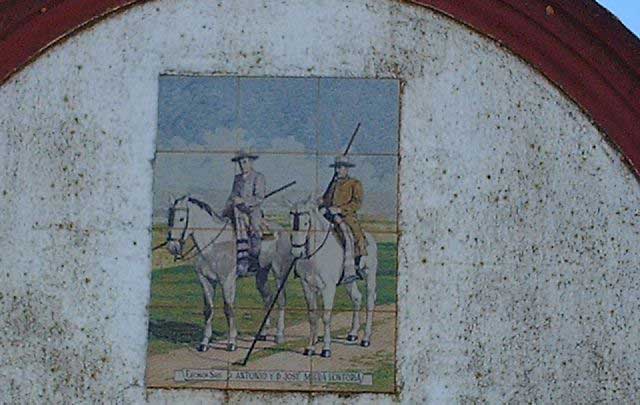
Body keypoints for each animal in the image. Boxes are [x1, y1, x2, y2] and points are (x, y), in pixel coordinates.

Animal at [165, 195, 296, 350]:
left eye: (181, 219)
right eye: (169, 217)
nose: (172, 247)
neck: (213, 246)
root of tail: (282, 230)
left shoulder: (227, 281)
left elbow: (229, 308)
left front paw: (231, 342)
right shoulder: (205, 280)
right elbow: (208, 309)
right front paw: (204, 343)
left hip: (279, 272)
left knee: (281, 300)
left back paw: (279, 336)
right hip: (261, 275)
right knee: (268, 299)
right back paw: (263, 333)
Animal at [288, 197, 376, 356]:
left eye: (306, 223)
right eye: (291, 221)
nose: (297, 252)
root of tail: (370, 237)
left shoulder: (328, 288)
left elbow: (326, 317)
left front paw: (326, 349)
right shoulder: (307, 286)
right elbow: (312, 317)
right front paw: (310, 347)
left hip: (370, 276)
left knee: (370, 302)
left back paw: (366, 339)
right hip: (349, 281)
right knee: (357, 298)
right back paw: (353, 333)